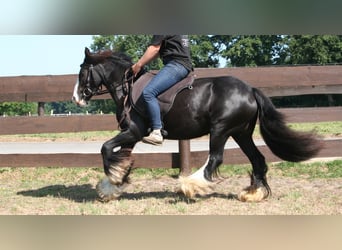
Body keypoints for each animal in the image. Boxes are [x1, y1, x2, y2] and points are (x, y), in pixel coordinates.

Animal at [72, 47, 320, 202]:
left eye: (82, 71)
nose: (76, 98)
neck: (128, 88)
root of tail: (250, 90)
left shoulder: (133, 131)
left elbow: (105, 148)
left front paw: (113, 180)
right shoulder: (130, 135)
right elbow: (122, 158)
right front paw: (112, 186)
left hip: (221, 130)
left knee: (215, 158)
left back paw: (190, 186)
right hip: (240, 133)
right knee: (257, 159)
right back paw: (252, 193)